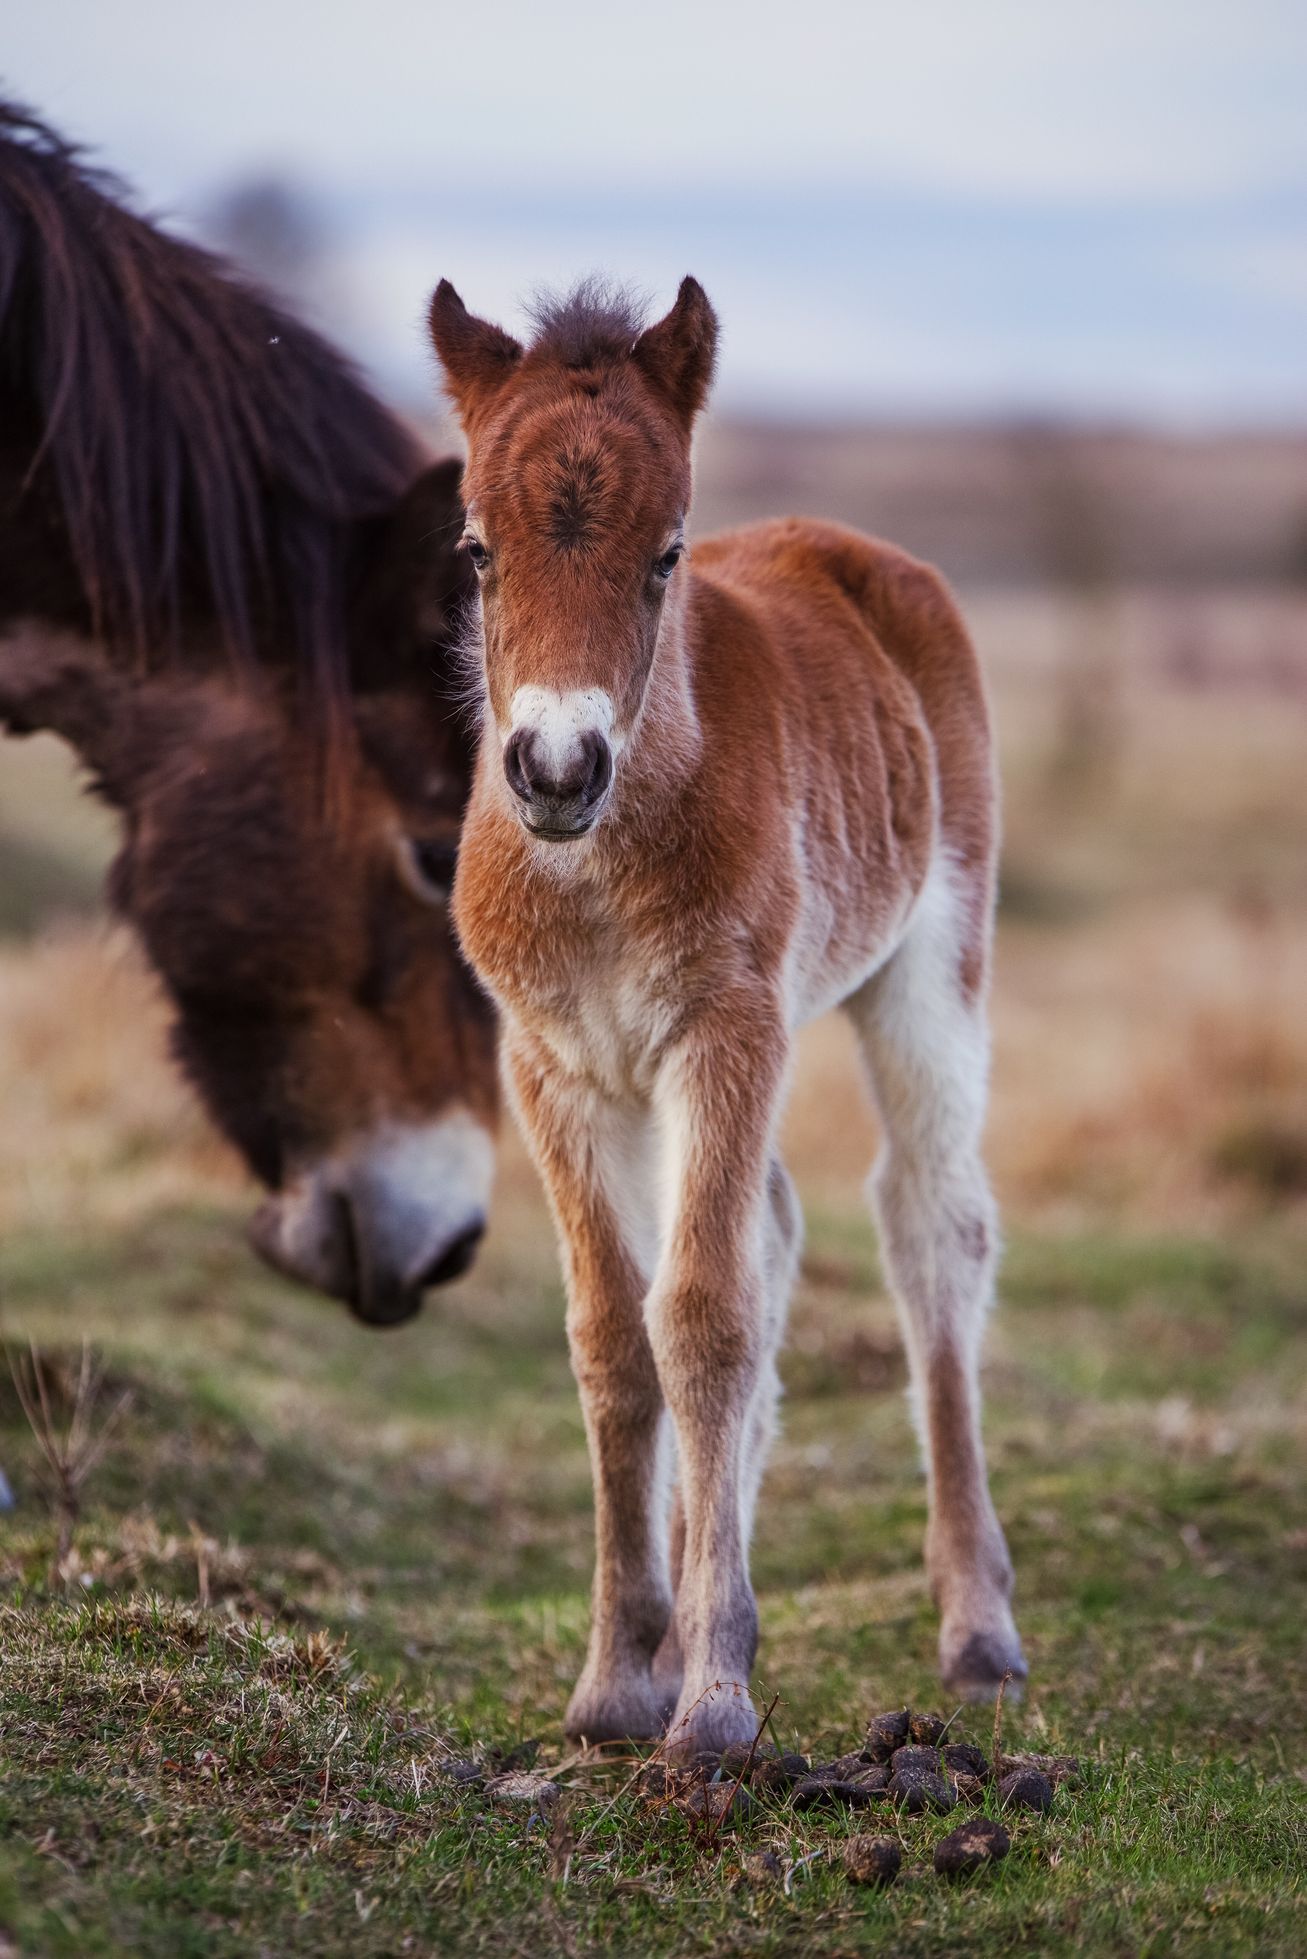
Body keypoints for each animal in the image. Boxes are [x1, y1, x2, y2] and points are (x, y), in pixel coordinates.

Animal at [435, 280, 1026, 1763]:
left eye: (665, 557)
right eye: (473, 551)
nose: (556, 767)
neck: (598, 865)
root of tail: (851, 551)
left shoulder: (726, 1027)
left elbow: (699, 1315)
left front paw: (710, 1700)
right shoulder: (555, 1065)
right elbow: (614, 1331)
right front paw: (615, 1678)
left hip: (927, 968)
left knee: (928, 1229)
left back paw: (977, 1627)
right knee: (769, 1238)